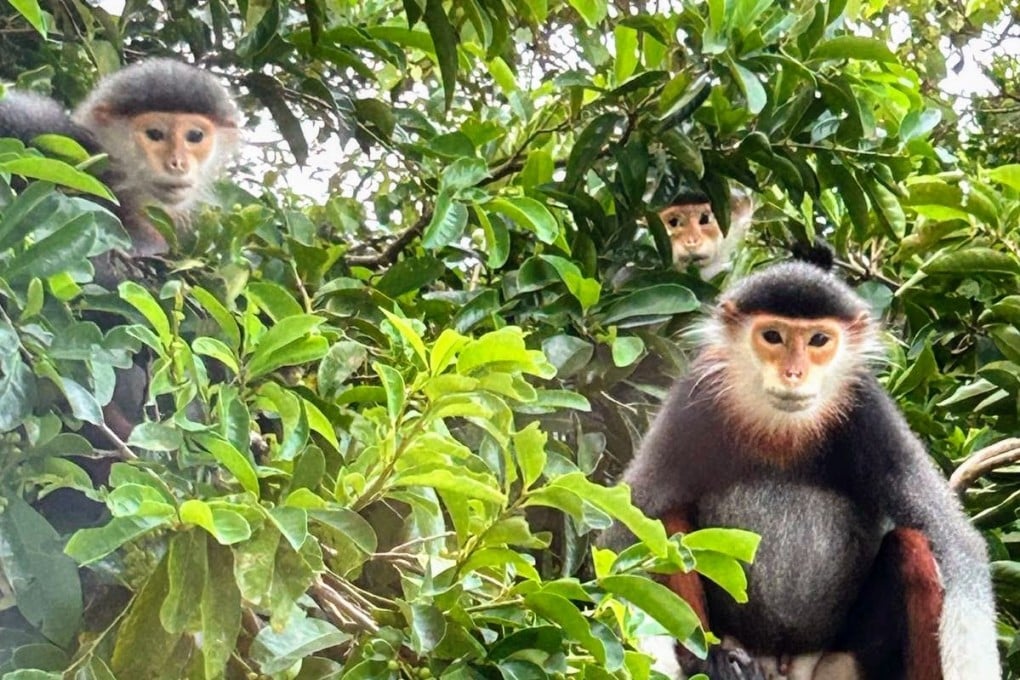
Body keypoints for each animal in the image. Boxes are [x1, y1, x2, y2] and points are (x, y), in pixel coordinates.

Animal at [600, 259, 999, 679]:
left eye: (818, 341)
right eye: (773, 337)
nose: (793, 374)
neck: (783, 431)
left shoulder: (871, 412)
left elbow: (959, 547)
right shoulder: (694, 398)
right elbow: (625, 525)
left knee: (915, 545)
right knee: (666, 518)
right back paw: (710, 662)